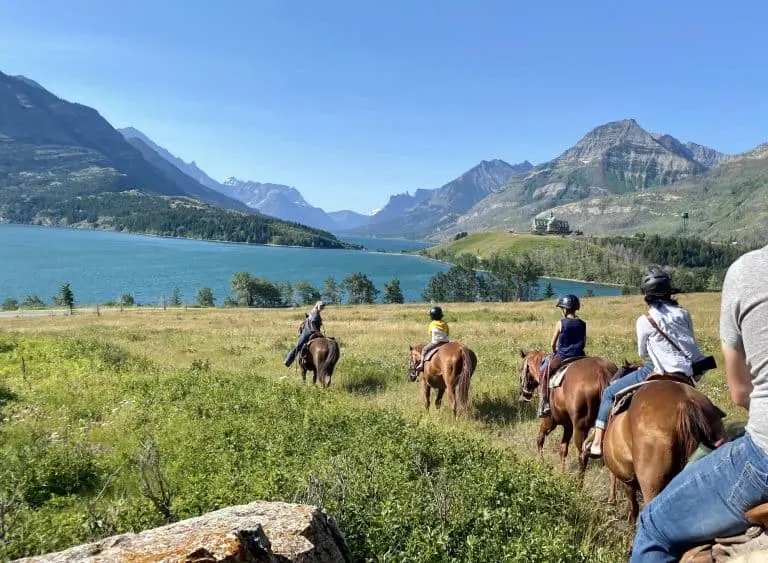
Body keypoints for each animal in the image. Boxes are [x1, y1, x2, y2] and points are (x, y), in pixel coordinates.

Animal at [516, 350, 616, 478]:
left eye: (521, 369)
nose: (524, 395)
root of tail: (601, 372)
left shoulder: (548, 421)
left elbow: (539, 440)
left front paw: (541, 464)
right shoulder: (568, 426)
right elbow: (563, 450)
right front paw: (562, 474)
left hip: (580, 428)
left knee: (583, 456)